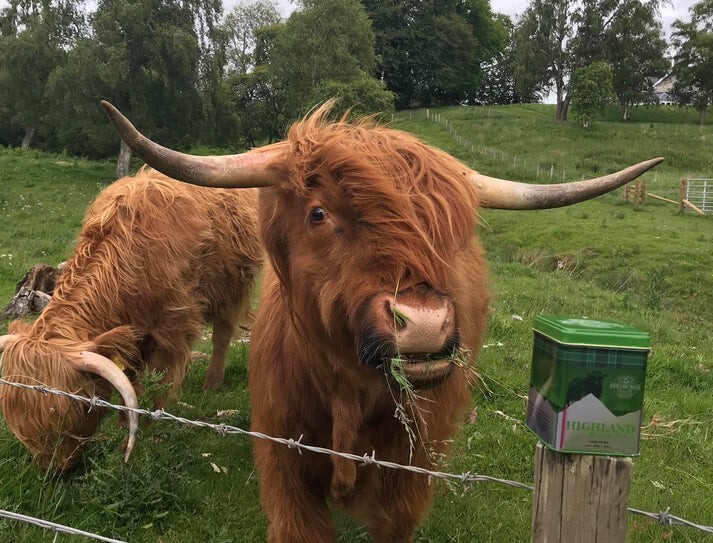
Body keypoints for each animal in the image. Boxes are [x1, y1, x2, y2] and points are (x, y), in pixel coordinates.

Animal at [0, 168, 262, 470]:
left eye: (75, 407)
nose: (54, 469)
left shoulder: (171, 329)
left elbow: (150, 384)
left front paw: (134, 432)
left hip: (233, 286)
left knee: (222, 332)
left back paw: (212, 383)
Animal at [101, 101, 662, 542]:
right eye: (319, 212)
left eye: (451, 230)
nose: (425, 324)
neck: (347, 391)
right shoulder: (285, 463)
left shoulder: (407, 478)